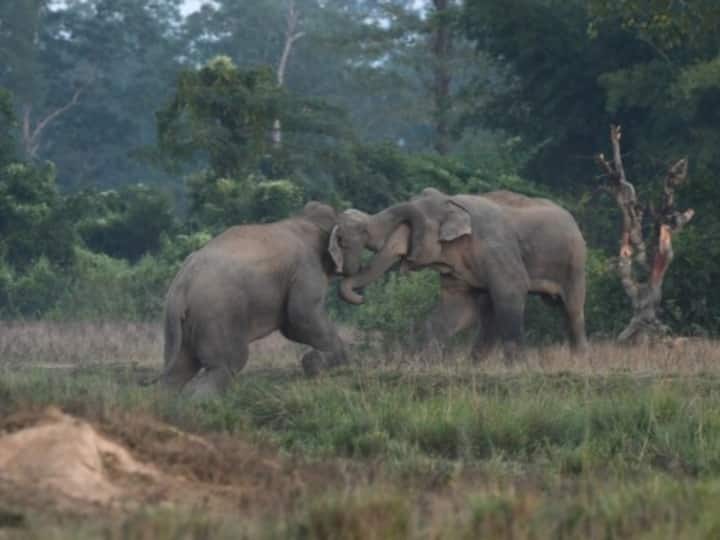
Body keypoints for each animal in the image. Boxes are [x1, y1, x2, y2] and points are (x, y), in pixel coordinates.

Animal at [158, 201, 347, 398]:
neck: (305, 221)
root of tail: (182, 286)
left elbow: (292, 326)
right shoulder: (306, 268)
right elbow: (301, 317)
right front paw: (338, 361)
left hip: (178, 323)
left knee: (178, 371)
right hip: (216, 314)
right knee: (225, 366)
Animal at [329, 188, 588, 359]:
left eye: (409, 225)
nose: (360, 296)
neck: (451, 201)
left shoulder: (497, 247)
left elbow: (512, 290)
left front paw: (519, 367)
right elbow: (457, 308)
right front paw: (426, 363)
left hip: (575, 261)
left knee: (572, 310)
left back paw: (578, 361)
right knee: (488, 311)